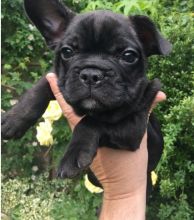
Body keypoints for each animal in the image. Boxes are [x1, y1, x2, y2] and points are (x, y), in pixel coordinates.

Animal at [1, 0, 171, 186]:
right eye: (67, 51)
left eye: (128, 56)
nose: (91, 74)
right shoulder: (60, 80)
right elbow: (40, 86)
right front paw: (14, 118)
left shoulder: (135, 126)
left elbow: (92, 122)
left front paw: (74, 154)